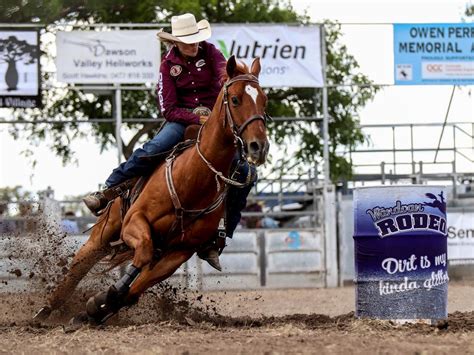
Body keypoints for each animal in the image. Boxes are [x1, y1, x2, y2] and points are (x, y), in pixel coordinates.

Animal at [35, 56, 268, 326]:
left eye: (264, 100)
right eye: (236, 99)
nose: (259, 146)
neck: (193, 177)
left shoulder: (180, 251)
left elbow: (136, 287)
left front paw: (98, 306)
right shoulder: (134, 223)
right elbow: (142, 254)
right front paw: (105, 298)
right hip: (106, 230)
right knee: (79, 264)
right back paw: (45, 310)